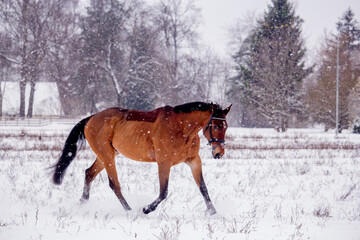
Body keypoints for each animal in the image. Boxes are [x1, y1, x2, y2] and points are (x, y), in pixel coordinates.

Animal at [52, 102, 233, 215]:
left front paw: (212, 211)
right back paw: (130, 211)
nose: (219, 153)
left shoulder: (194, 161)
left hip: (106, 155)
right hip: (107, 156)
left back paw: (82, 203)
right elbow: (163, 192)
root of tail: (92, 118)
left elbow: (203, 188)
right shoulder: (164, 163)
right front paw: (146, 209)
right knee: (114, 184)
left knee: (89, 173)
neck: (182, 129)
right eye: (215, 125)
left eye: (225, 126)